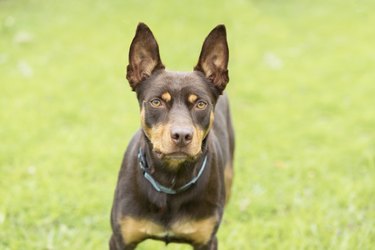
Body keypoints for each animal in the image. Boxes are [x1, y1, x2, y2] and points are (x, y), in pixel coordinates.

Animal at [109, 22, 235, 249]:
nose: (182, 135)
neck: (171, 179)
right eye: (156, 102)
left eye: (201, 104)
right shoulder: (120, 240)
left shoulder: (207, 241)